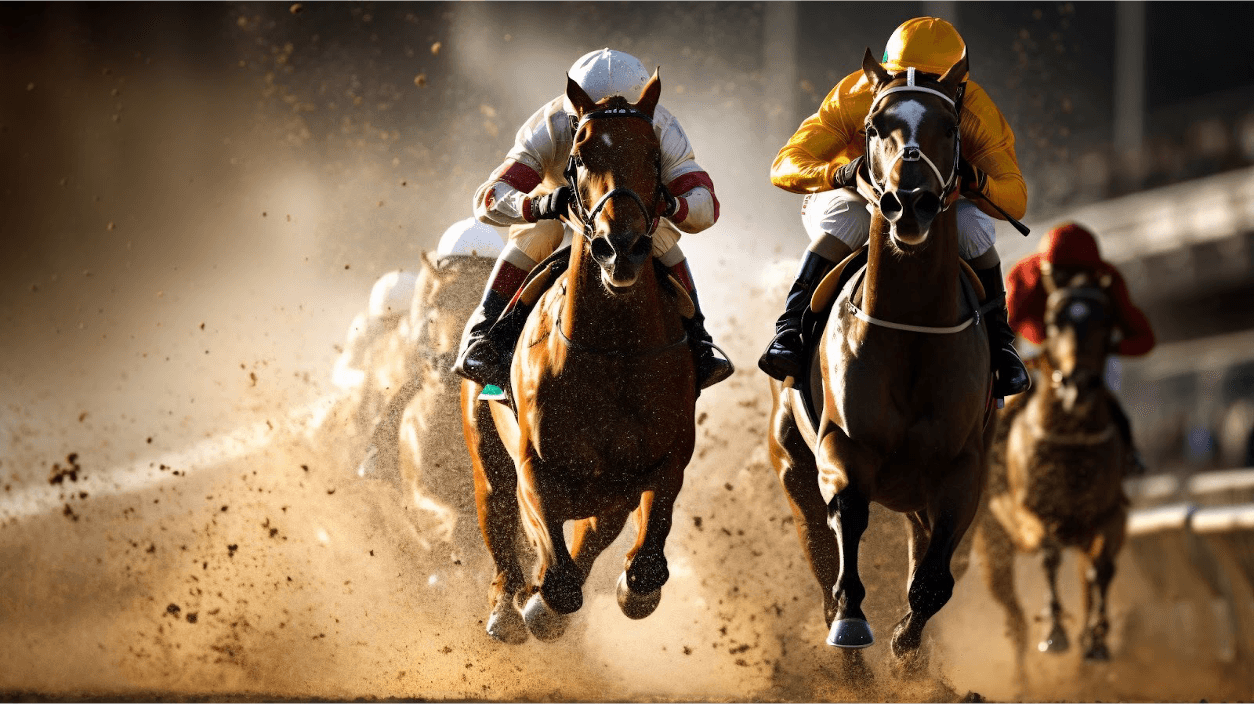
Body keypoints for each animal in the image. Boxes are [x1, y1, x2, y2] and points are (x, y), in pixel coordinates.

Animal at [461, 71, 697, 644]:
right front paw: (539, 602)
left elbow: (643, 566)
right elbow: (559, 577)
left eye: (654, 154)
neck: (614, 353)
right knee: (500, 520)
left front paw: (632, 587)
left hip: (608, 495)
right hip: (485, 454)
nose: (621, 247)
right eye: (581, 154)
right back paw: (509, 609)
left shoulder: (662, 463)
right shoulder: (534, 467)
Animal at [767, 49, 993, 675]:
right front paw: (853, 624)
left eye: (950, 129)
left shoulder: (963, 470)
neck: (912, 332)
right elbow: (847, 520)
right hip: (792, 465)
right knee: (821, 558)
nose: (909, 202)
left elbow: (933, 583)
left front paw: (908, 651)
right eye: (874, 128)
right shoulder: (843, 447)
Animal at [976, 267, 1127, 677]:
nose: (1079, 384)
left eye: (1106, 320)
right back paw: (1022, 678)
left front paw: (1096, 642)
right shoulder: (1029, 515)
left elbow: (1101, 570)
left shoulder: (1112, 515)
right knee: (1013, 616)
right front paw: (1056, 633)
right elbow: (1048, 554)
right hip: (991, 545)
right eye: (1054, 322)